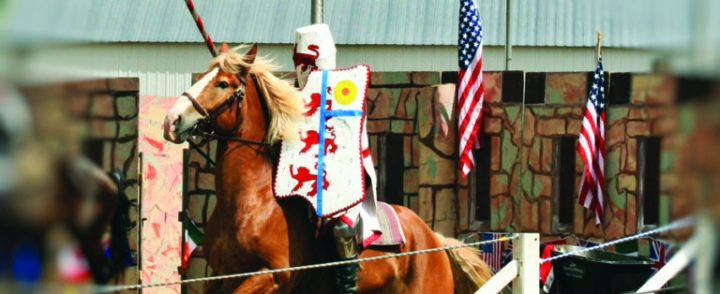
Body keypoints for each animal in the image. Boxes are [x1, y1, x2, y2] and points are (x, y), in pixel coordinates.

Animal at [162, 44, 490, 294]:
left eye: (222, 84)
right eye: (204, 77)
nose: (171, 121)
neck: (251, 203)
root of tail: (434, 240)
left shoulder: (272, 276)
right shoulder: (223, 277)